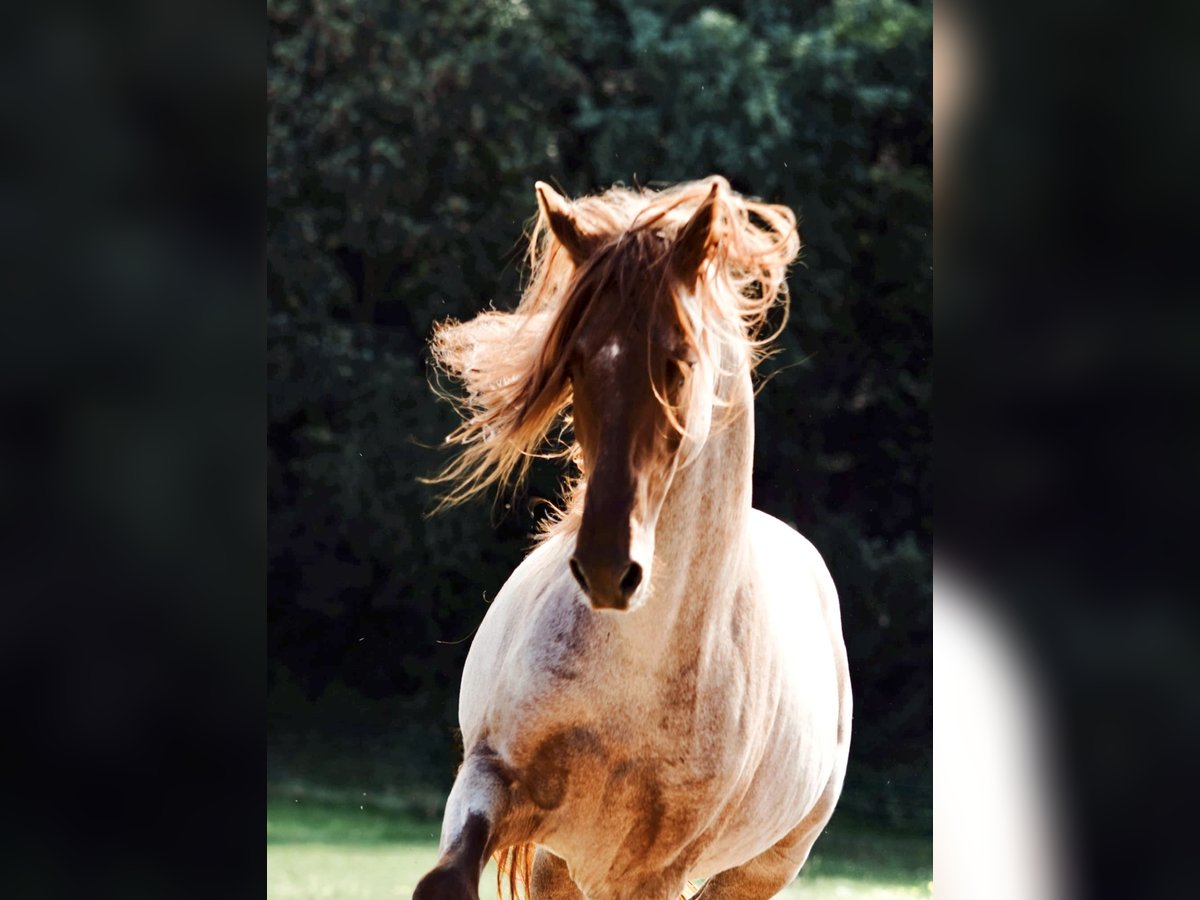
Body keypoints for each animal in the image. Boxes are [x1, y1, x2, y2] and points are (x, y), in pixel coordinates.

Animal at [412, 177, 854, 900]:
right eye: (574, 361)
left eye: (680, 363)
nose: (605, 567)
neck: (634, 671)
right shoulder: (492, 780)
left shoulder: (653, 871)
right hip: (560, 863)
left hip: (752, 873)